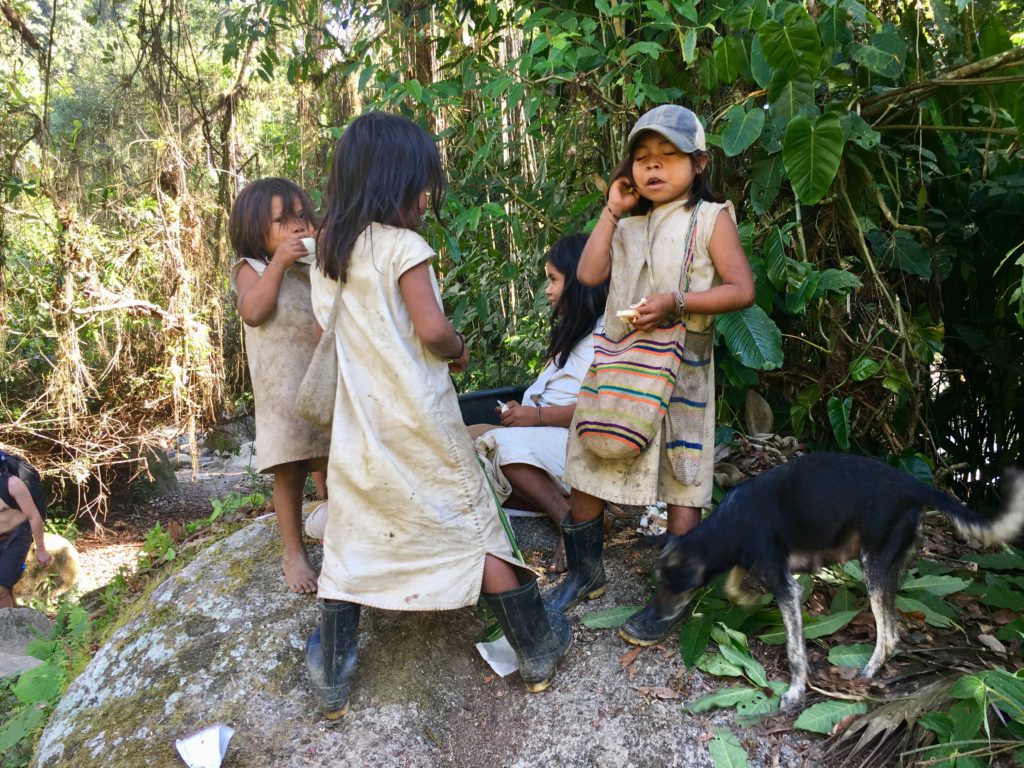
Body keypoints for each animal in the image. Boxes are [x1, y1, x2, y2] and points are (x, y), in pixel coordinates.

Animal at [630, 454, 1024, 712]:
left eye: (674, 587)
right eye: (658, 584)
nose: (650, 618)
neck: (729, 524)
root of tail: (913, 484)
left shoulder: (783, 584)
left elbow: (794, 650)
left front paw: (795, 693)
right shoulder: (759, 561)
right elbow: (732, 585)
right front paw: (748, 600)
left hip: (873, 566)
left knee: (889, 634)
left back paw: (867, 673)